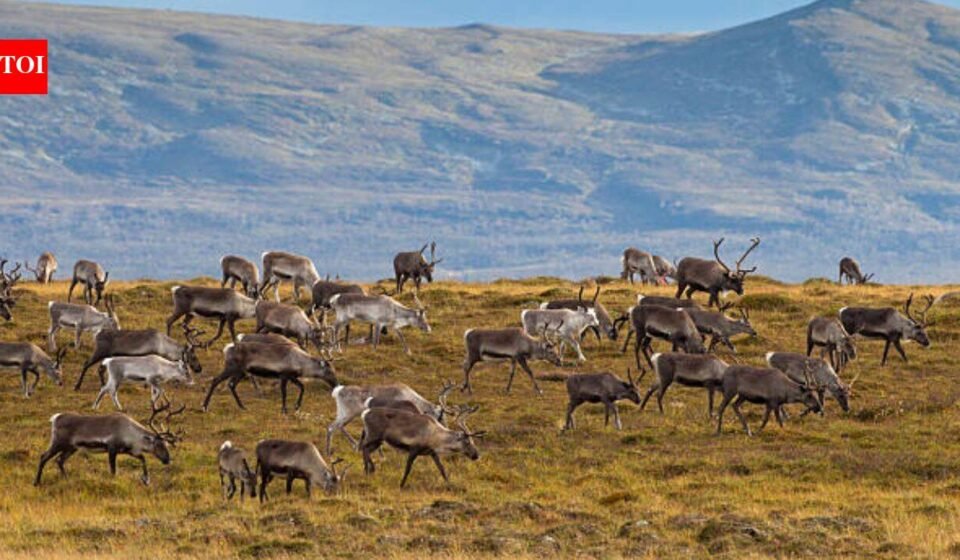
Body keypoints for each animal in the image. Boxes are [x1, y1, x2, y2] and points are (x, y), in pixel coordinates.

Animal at [34, 400, 183, 487]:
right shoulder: (112, 448)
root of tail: (55, 418)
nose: (167, 459)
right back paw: (37, 482)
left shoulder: (128, 450)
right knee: (44, 457)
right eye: (158, 445)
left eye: (167, 444)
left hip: (71, 448)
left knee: (59, 460)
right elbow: (113, 470)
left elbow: (142, 458)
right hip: (58, 442)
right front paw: (113, 482)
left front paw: (146, 480)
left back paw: (67, 480)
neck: (130, 432)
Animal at [75, 325, 204, 391]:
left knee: (100, 369)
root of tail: (97, 334)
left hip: (107, 355)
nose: (199, 368)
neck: (163, 345)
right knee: (86, 363)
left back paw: (103, 386)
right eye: (193, 356)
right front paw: (147, 386)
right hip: (100, 352)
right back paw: (77, 386)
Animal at [201, 341, 339, 414]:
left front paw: (297, 406)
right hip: (233, 368)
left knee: (231, 384)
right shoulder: (284, 375)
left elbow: (302, 387)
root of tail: (226, 349)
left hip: (241, 372)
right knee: (216, 380)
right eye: (329, 371)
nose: (337, 384)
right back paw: (204, 406)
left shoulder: (291, 376)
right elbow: (284, 393)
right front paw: (284, 410)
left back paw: (242, 406)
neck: (301, 363)